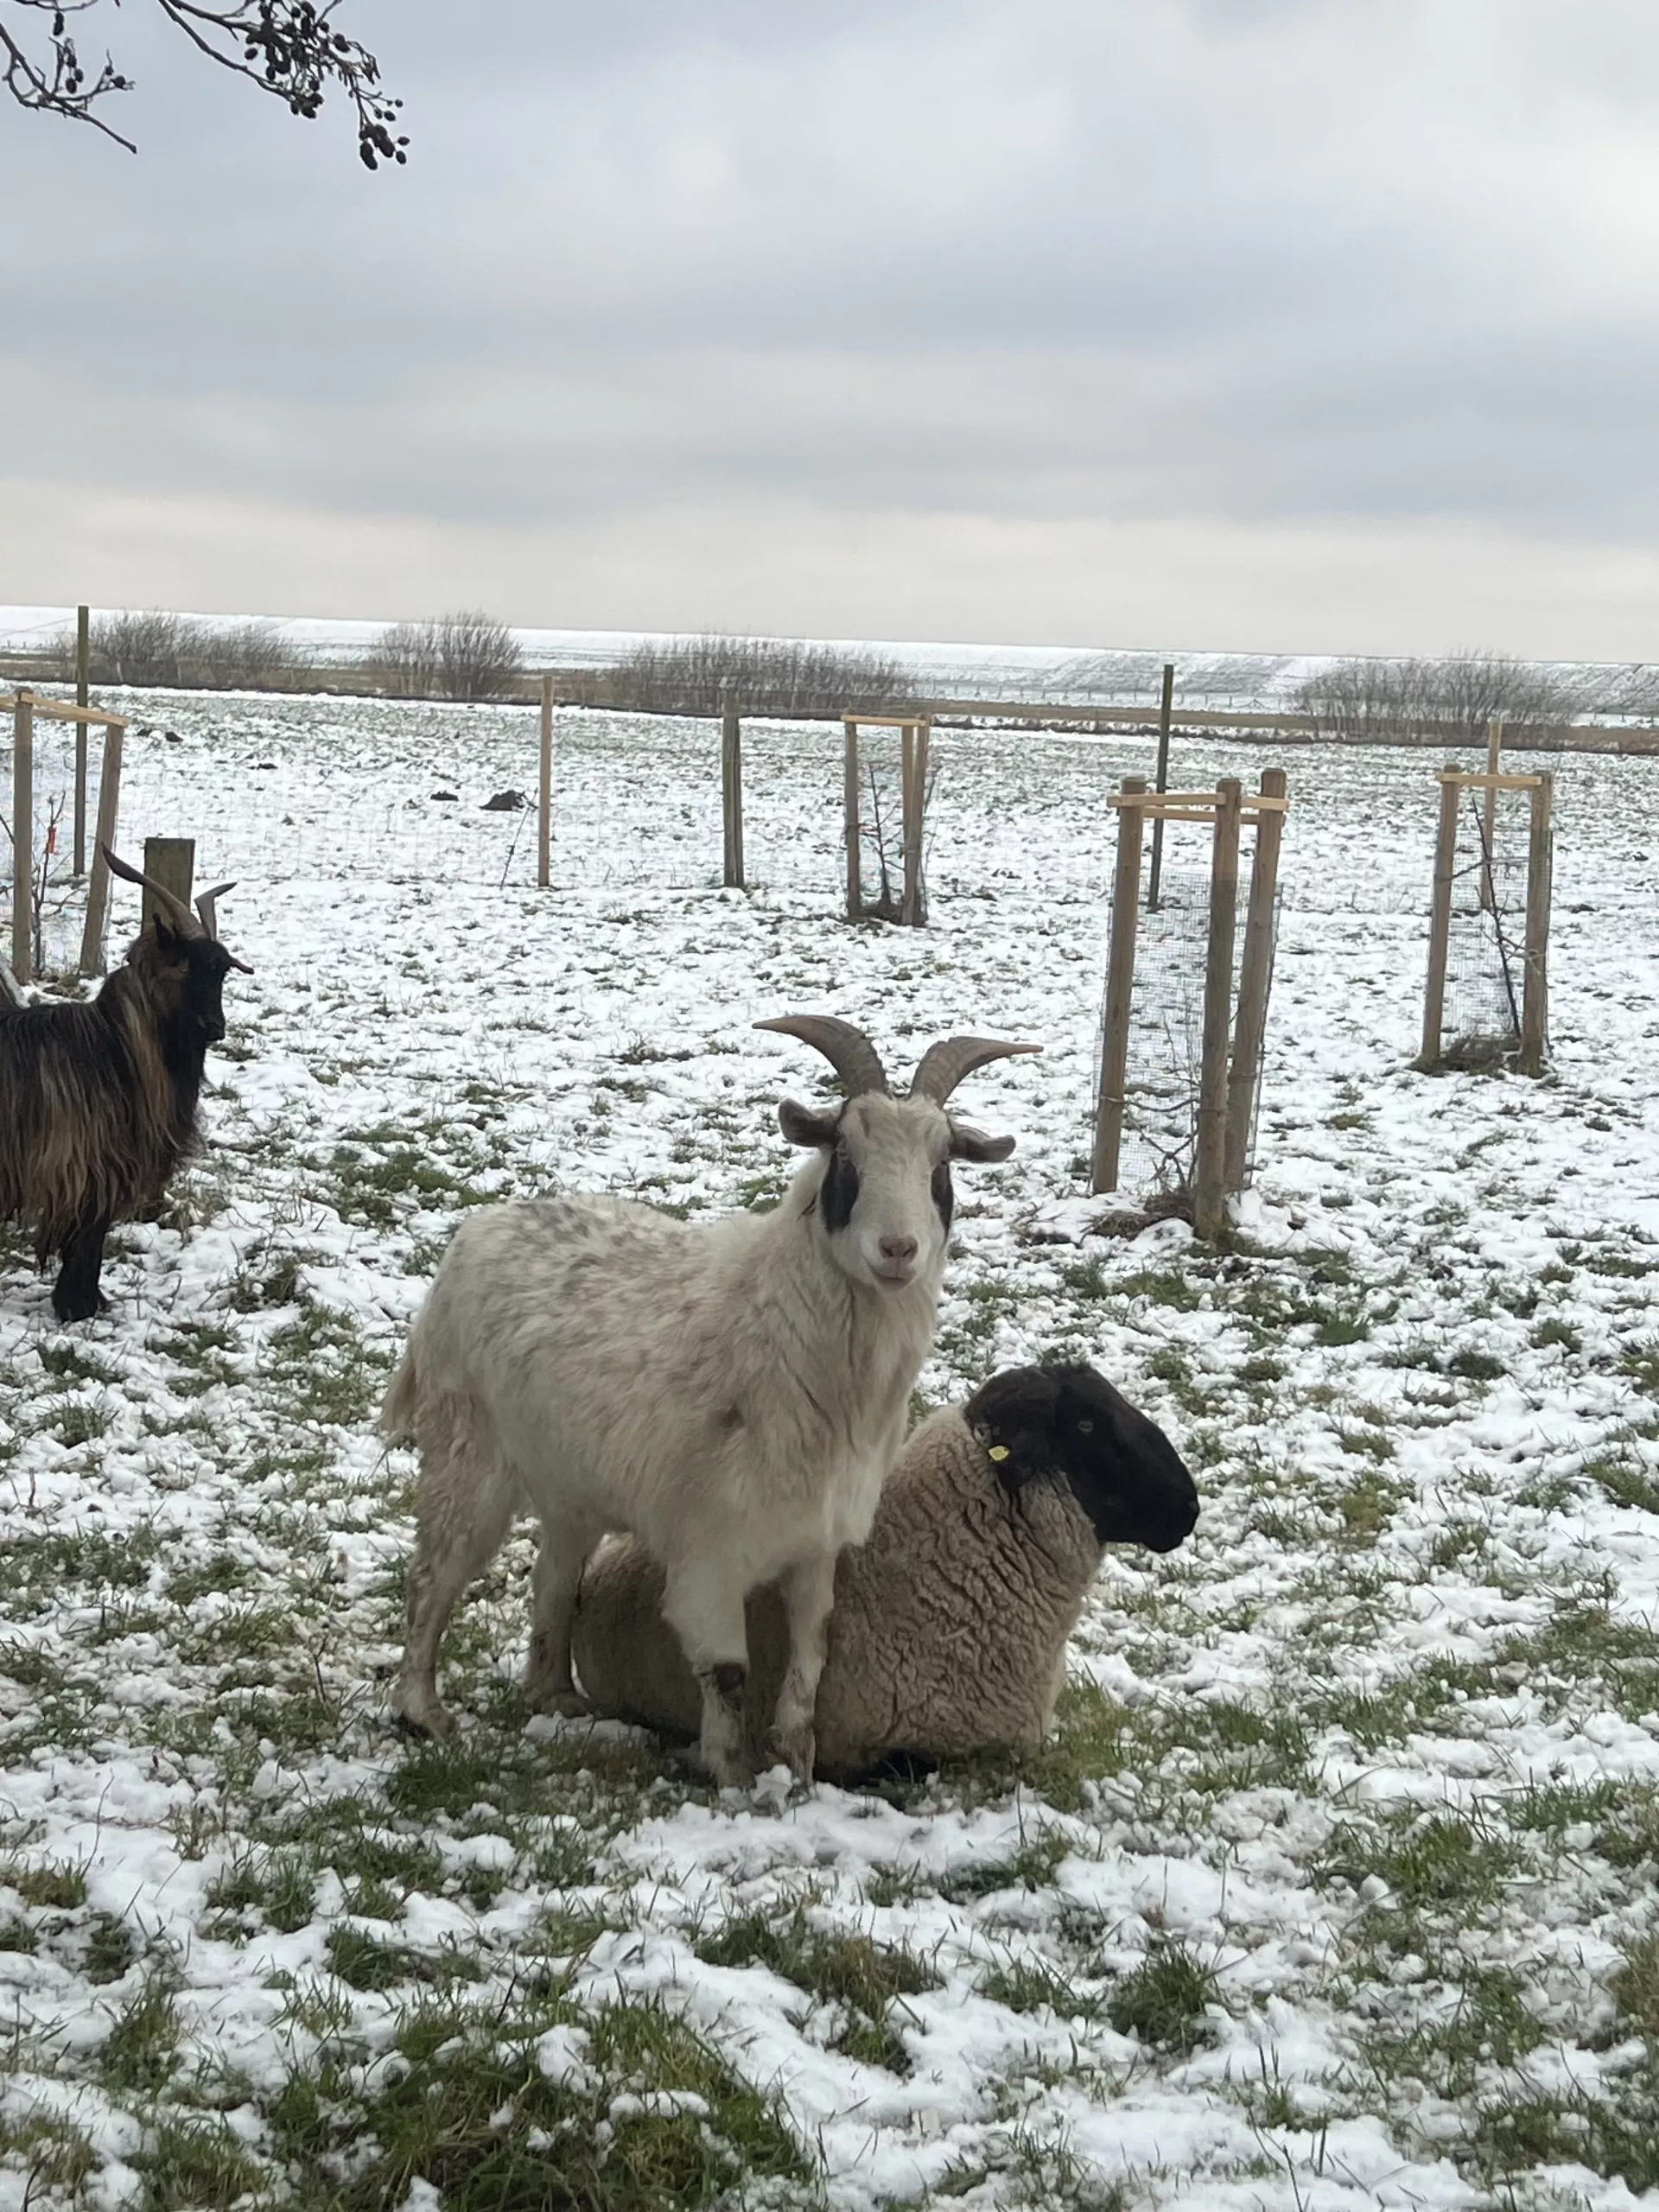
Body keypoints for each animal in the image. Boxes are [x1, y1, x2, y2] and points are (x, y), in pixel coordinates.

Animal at [0, 848, 249, 1322]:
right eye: (183, 964)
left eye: (223, 971)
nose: (215, 1027)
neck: (111, 1051)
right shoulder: (87, 1168)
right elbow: (86, 1240)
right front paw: (77, 1307)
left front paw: (89, 1302)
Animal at [383, 1014, 1040, 1786]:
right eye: (844, 1154)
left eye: (943, 1165)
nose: (898, 1249)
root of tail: (475, 1232)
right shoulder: (710, 1545)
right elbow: (727, 1671)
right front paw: (734, 1776)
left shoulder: (815, 1542)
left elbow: (809, 1663)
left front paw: (798, 1768)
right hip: (469, 1446)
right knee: (435, 1572)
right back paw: (421, 1709)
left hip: (572, 1481)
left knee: (554, 1576)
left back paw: (556, 1697)